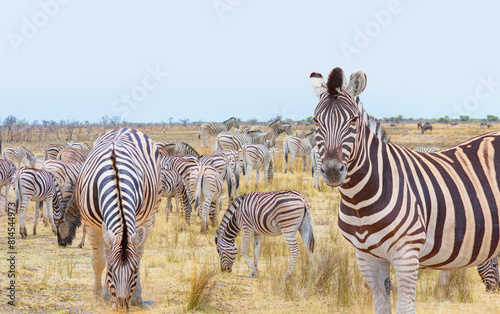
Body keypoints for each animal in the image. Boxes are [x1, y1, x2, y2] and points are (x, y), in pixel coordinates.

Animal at [73, 129, 160, 308]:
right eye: (111, 269)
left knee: (140, 252)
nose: (121, 303)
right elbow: (99, 260)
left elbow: (136, 257)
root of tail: (126, 128)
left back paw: (137, 297)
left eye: (134, 270)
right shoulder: (92, 226)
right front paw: (99, 294)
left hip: (148, 217)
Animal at [310, 67, 500, 314]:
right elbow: (381, 306)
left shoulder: (407, 254)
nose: (333, 170)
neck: (359, 200)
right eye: (315, 120)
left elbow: (405, 308)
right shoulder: (366, 257)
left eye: (353, 120)